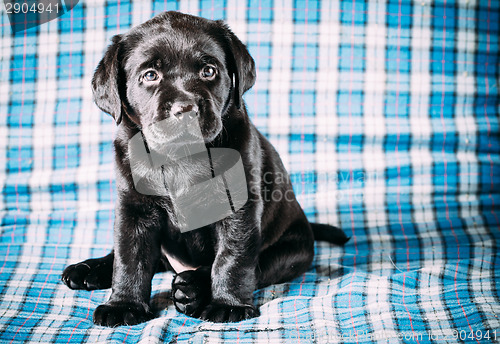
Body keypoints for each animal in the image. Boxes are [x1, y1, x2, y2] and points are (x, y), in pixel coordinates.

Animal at [61, 10, 348, 326]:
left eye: (209, 71)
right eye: (150, 75)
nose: (185, 110)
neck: (179, 158)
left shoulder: (239, 209)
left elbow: (232, 259)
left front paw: (228, 305)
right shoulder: (133, 207)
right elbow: (129, 257)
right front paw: (124, 304)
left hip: (291, 251)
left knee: (256, 266)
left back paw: (192, 288)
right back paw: (88, 269)